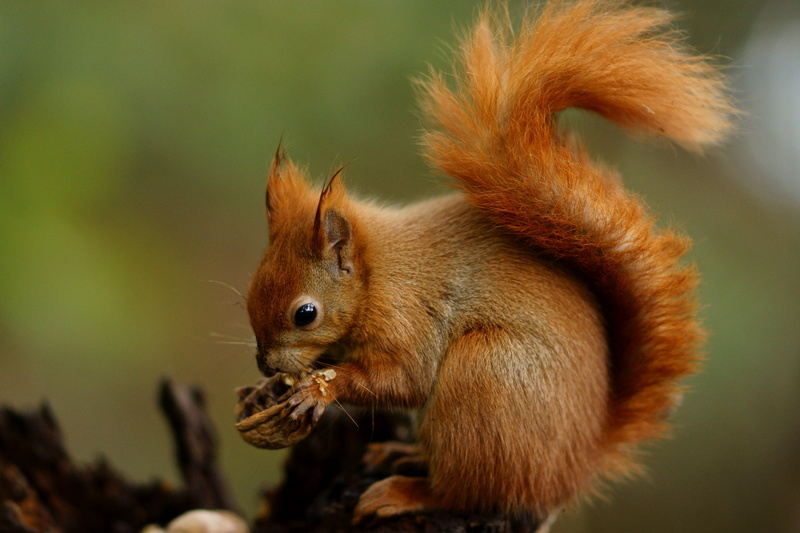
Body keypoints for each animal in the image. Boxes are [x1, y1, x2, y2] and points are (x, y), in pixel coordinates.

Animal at [244, 0, 734, 524]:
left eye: (306, 314)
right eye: (251, 292)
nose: (263, 364)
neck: (377, 274)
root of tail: (574, 468)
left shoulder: (408, 316)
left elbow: (404, 380)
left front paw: (319, 388)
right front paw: (268, 392)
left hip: (484, 378)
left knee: (468, 491)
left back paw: (406, 490)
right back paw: (406, 454)